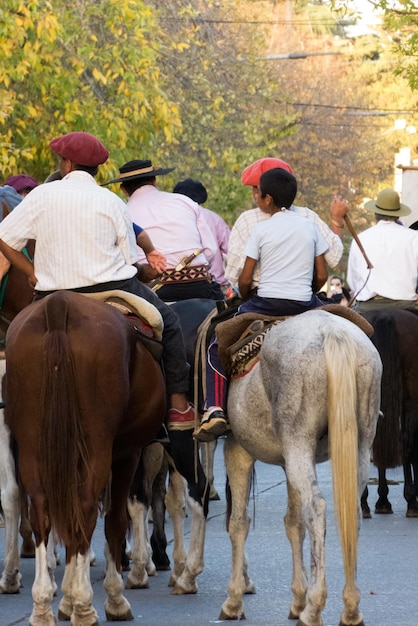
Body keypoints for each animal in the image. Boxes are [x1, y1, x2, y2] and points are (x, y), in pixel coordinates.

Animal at [3, 290, 167, 620]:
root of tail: (59, 305)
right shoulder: (127, 453)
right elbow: (117, 518)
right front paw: (112, 597)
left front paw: (65, 599)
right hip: (97, 445)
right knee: (89, 508)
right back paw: (86, 605)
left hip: (33, 444)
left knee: (42, 509)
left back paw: (43, 605)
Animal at [222, 310, 382, 624]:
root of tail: (332, 331)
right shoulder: (287, 462)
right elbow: (294, 523)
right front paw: (297, 597)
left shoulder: (237, 451)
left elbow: (238, 523)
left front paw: (233, 600)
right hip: (356, 444)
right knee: (349, 512)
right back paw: (350, 608)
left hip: (298, 443)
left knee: (317, 509)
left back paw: (314, 608)